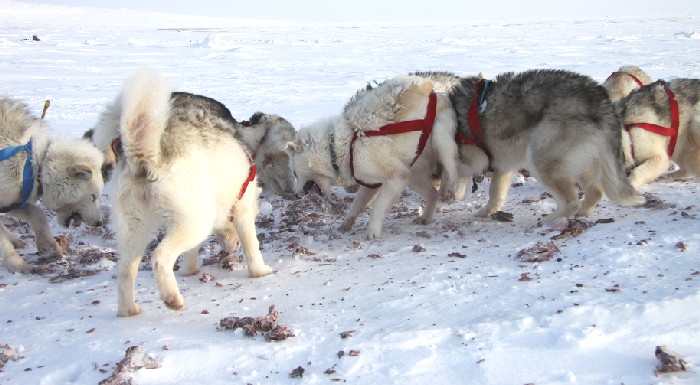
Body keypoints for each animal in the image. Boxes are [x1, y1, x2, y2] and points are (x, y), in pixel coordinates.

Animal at [0, 97, 104, 274]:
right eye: (93, 196)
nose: (100, 223)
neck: (35, 165)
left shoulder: (14, 201)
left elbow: (39, 215)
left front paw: (49, 246)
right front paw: (16, 264)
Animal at [110, 69, 272, 316]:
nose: (232, 248)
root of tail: (145, 157)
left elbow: (192, 253)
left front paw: (190, 269)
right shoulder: (242, 207)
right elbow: (251, 245)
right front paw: (260, 271)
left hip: (134, 229)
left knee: (126, 271)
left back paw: (129, 310)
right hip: (195, 222)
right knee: (160, 256)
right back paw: (172, 298)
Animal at [284, 75, 460, 238]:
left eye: (294, 173)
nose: (295, 195)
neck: (339, 146)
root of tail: (440, 93)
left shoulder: (396, 178)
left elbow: (378, 208)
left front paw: (372, 231)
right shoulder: (370, 183)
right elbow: (355, 206)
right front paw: (346, 224)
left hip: (439, 137)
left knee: (451, 168)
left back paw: (449, 189)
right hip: (413, 174)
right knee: (432, 194)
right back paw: (426, 217)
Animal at [448, 69, 644, 224]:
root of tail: (602, 101)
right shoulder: (501, 163)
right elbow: (494, 194)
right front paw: (484, 210)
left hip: (540, 160)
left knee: (571, 202)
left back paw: (546, 221)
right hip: (579, 163)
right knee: (595, 192)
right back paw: (581, 214)